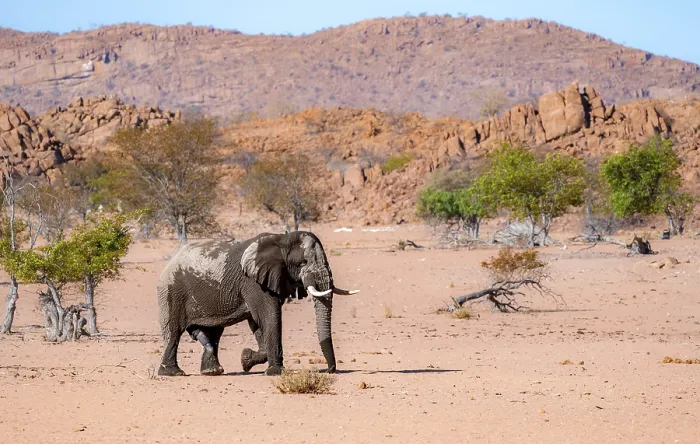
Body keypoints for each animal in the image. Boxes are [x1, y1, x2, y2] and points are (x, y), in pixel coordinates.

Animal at [156, 230, 359, 377]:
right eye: (303, 262)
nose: (328, 370)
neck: (282, 239)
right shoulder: (253, 282)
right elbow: (269, 317)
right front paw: (275, 372)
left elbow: (257, 322)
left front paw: (246, 359)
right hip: (171, 291)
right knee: (174, 331)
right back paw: (173, 373)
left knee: (213, 332)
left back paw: (212, 371)